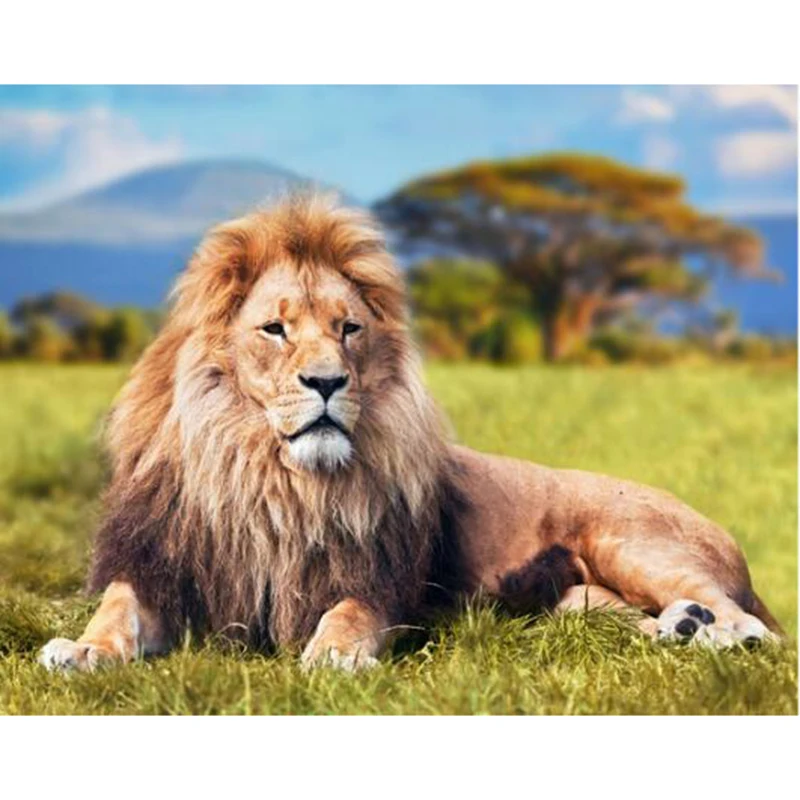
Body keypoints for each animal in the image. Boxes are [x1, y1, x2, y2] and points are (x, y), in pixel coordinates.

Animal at [40, 194, 782, 673]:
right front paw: (82, 650)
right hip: (576, 601)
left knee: (754, 627)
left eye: (348, 328)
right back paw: (680, 628)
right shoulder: (164, 567)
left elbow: (348, 615)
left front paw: (333, 655)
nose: (328, 382)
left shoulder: (379, 580)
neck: (271, 478)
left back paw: (716, 635)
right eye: (275, 328)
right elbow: (117, 610)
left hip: (631, 542)